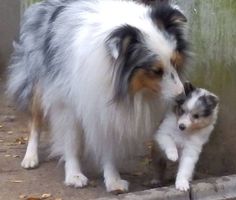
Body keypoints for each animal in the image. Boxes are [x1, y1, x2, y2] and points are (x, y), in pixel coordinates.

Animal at [6, 0, 189, 192]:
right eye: (155, 71)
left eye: (175, 62)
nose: (182, 97)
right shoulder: (67, 104)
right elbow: (71, 142)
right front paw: (74, 176)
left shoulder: (104, 107)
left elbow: (107, 146)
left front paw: (113, 180)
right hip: (39, 86)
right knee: (35, 121)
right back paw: (30, 158)